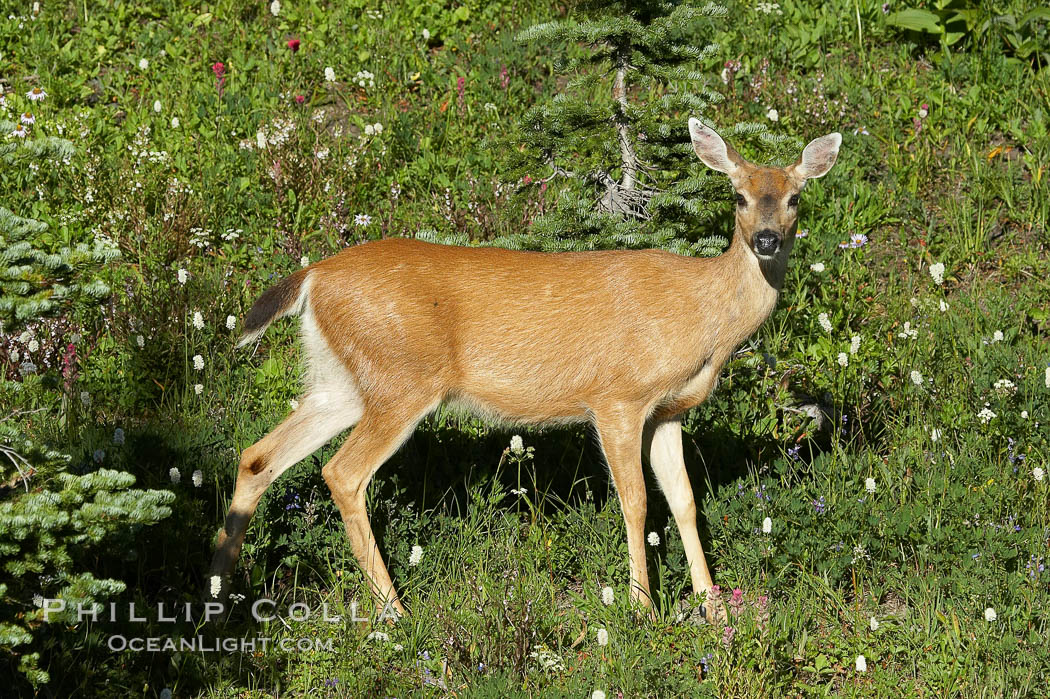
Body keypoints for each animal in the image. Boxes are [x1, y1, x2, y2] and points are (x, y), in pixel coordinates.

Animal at [208, 119, 839, 621]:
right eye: (737, 196)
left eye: (795, 198)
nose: (765, 240)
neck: (702, 317)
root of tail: (312, 278)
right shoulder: (616, 398)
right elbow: (636, 501)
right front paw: (642, 606)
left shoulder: (668, 412)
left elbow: (684, 500)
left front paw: (712, 607)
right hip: (401, 379)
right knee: (341, 472)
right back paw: (394, 611)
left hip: (341, 381)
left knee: (258, 456)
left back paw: (219, 588)